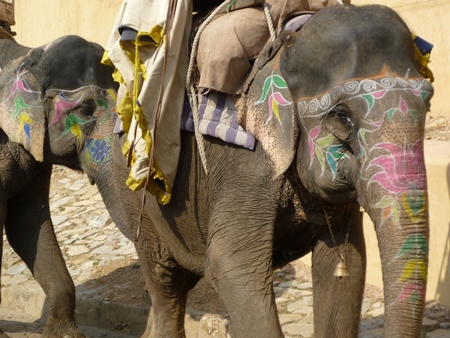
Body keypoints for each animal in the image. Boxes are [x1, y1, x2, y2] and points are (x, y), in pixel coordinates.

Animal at [0, 3, 436, 338]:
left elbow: (346, 265)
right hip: (143, 202)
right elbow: (232, 267)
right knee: (165, 281)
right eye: (342, 117)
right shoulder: (247, 164)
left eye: (429, 102)